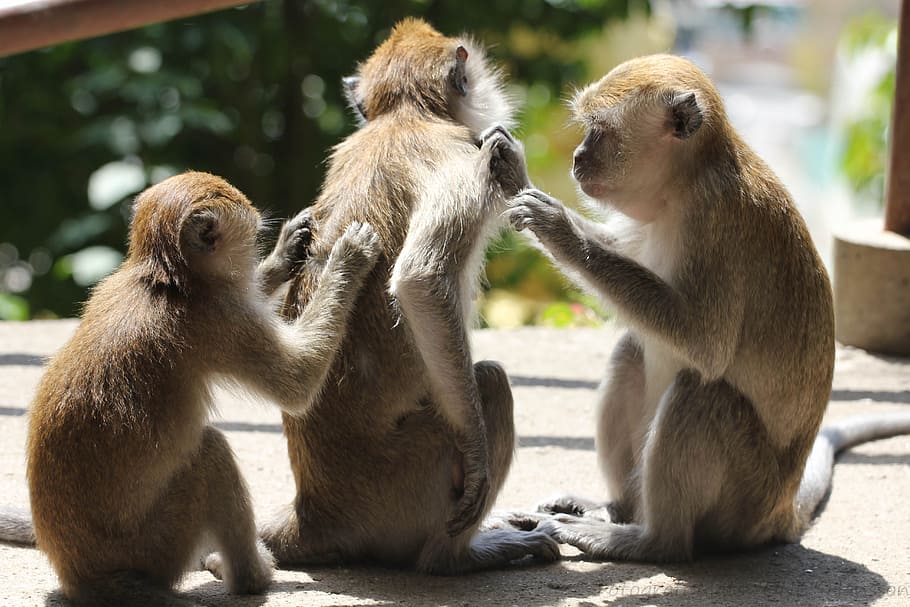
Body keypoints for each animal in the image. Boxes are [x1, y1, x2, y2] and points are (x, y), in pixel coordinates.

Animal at [8, 171, 379, 605]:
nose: (258, 251)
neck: (165, 278)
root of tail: (80, 577)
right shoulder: (217, 318)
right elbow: (296, 381)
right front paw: (348, 259)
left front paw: (286, 254)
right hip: (156, 545)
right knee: (210, 451)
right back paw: (251, 577)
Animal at [257, 18, 559, 574]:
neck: (404, 115)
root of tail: (314, 511)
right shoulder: (463, 156)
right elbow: (421, 281)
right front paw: (479, 460)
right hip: (407, 483)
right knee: (490, 381)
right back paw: (457, 557)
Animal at [492, 54, 910, 562]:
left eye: (600, 131)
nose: (577, 158)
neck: (684, 184)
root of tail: (779, 512)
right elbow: (623, 254)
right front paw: (514, 176)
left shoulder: (715, 222)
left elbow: (705, 345)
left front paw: (558, 229)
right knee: (631, 351)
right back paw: (614, 508)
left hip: (744, 499)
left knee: (703, 390)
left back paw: (648, 541)